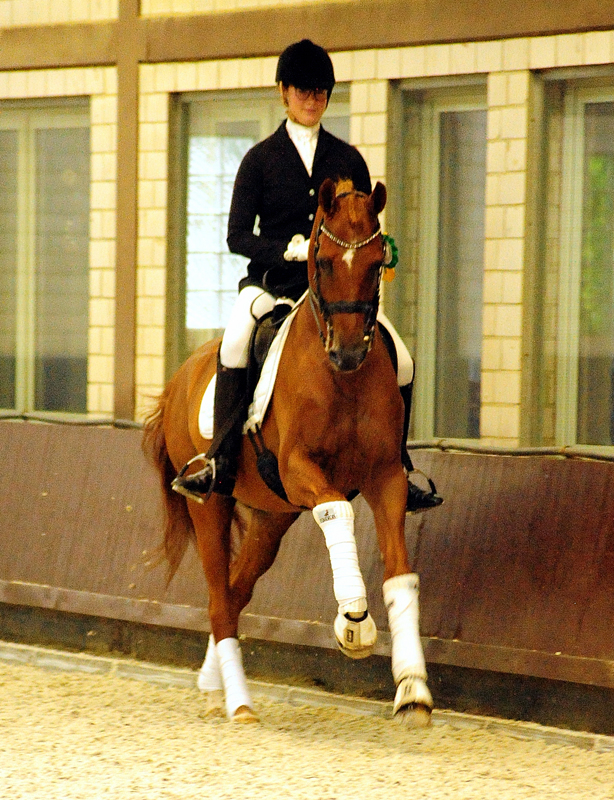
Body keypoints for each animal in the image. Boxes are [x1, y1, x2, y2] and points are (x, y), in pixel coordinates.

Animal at [143, 178, 434, 728]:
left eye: (376, 263)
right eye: (321, 260)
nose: (348, 353)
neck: (343, 382)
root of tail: (183, 373)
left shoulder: (386, 476)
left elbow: (401, 575)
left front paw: (413, 691)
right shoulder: (301, 468)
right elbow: (338, 511)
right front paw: (354, 622)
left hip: (272, 517)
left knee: (235, 591)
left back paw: (213, 688)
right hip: (212, 504)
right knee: (219, 600)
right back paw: (238, 703)